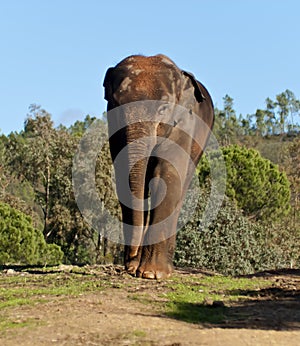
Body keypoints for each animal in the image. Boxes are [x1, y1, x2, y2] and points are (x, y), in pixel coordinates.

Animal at [103, 54, 213, 280]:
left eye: (163, 108)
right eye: (115, 103)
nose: (129, 262)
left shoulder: (184, 124)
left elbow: (165, 176)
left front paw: (150, 274)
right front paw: (135, 268)